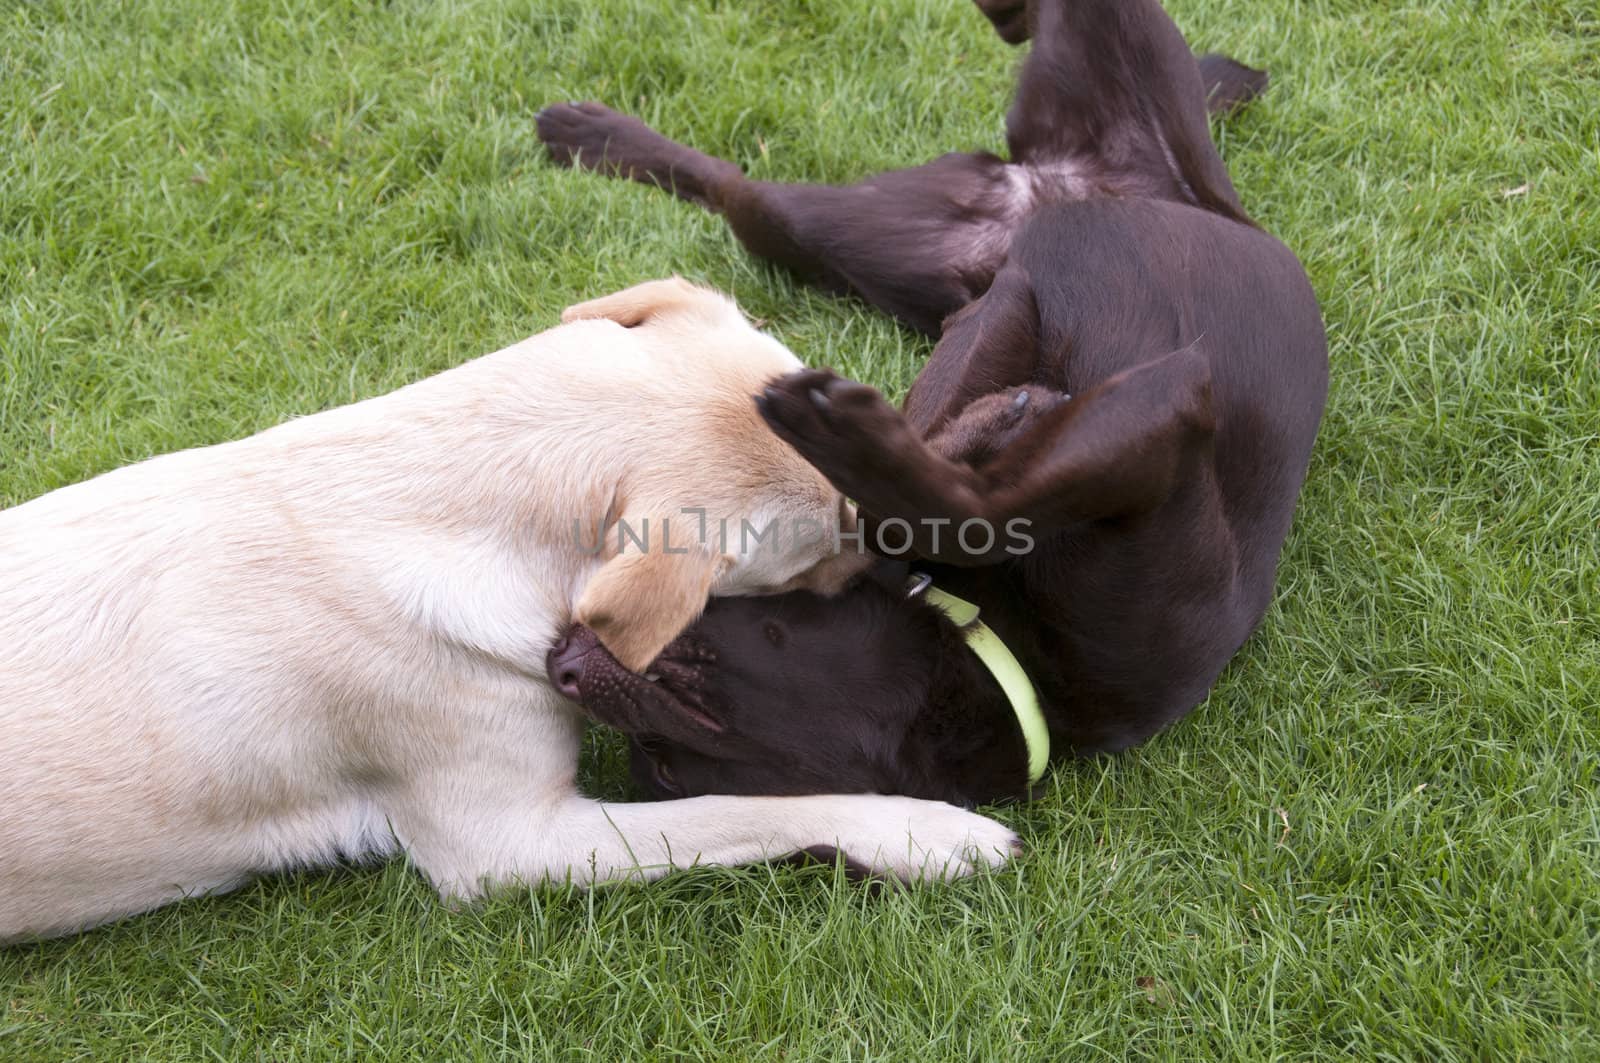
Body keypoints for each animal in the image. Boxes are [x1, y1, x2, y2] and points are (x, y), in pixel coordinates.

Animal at [0, 278, 1017, 941]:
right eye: (818, 548)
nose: (905, 564)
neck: (441, 483)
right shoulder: (512, 844)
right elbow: (744, 811)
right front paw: (928, 831)